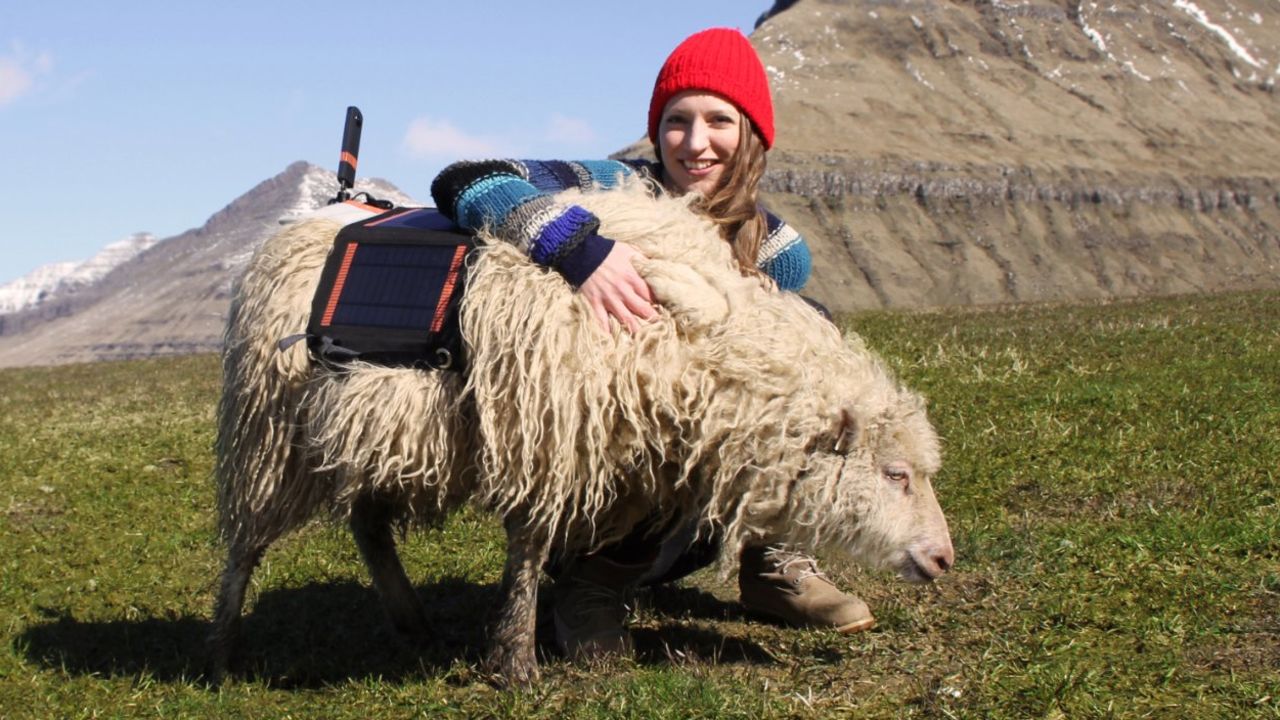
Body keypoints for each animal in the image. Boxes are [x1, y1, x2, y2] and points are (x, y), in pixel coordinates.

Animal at [207, 179, 952, 681]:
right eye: (896, 474)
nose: (945, 558)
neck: (690, 345)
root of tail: (294, 227)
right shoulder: (547, 432)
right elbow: (531, 548)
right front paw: (514, 662)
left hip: (373, 424)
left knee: (367, 523)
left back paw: (410, 621)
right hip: (267, 427)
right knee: (246, 544)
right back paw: (223, 648)